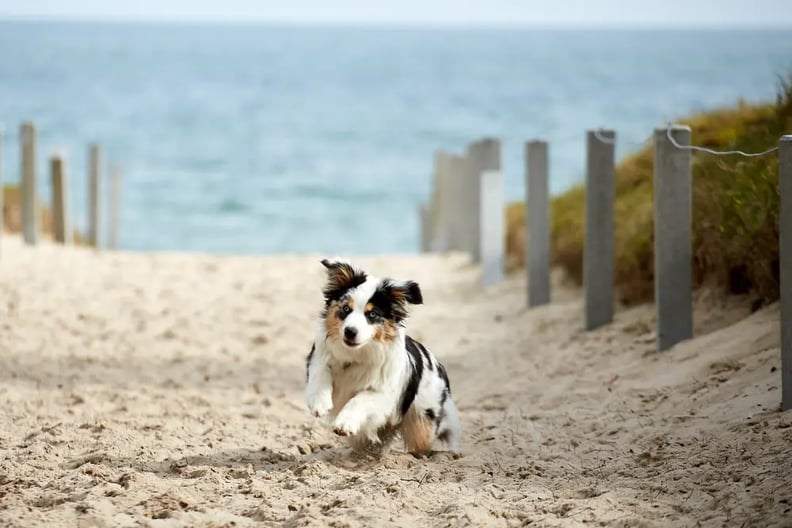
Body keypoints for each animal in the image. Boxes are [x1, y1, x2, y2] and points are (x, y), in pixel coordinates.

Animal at [304, 258, 464, 454]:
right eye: (346, 308)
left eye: (372, 314)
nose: (350, 332)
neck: (356, 354)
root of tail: (438, 365)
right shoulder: (318, 359)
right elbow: (320, 372)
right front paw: (319, 403)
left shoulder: (383, 393)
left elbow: (360, 399)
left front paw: (344, 423)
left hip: (422, 423)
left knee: (430, 436)